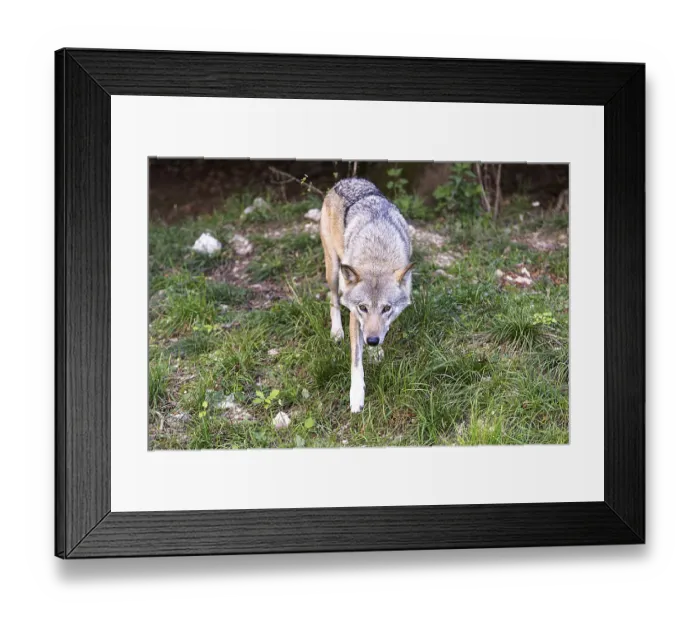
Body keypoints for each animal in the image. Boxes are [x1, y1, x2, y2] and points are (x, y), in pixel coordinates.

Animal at [320, 178, 414, 413]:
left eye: (386, 308)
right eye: (362, 307)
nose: (372, 341)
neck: (376, 256)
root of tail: (347, 180)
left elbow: (381, 329)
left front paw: (375, 352)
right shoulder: (355, 316)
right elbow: (356, 361)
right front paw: (356, 396)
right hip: (334, 271)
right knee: (333, 299)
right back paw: (336, 332)